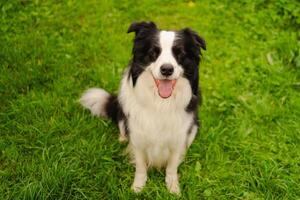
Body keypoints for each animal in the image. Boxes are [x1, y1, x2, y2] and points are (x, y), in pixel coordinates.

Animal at [80, 21, 206, 194]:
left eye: (179, 53)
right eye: (153, 52)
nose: (167, 69)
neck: (160, 103)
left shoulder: (178, 138)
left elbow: (172, 167)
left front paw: (173, 187)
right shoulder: (138, 137)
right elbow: (140, 166)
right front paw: (138, 187)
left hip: (194, 125)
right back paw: (122, 137)